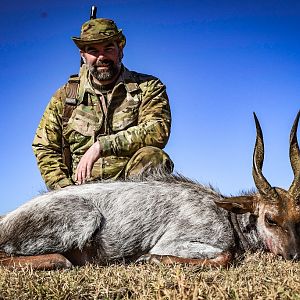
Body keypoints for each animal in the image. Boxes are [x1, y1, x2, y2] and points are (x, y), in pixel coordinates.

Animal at [0, 112, 300, 270]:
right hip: (84, 218)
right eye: (270, 219)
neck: (226, 215)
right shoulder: (174, 242)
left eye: (297, 219)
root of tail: (7, 221)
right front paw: (147, 258)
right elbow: (226, 255)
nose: (295, 255)